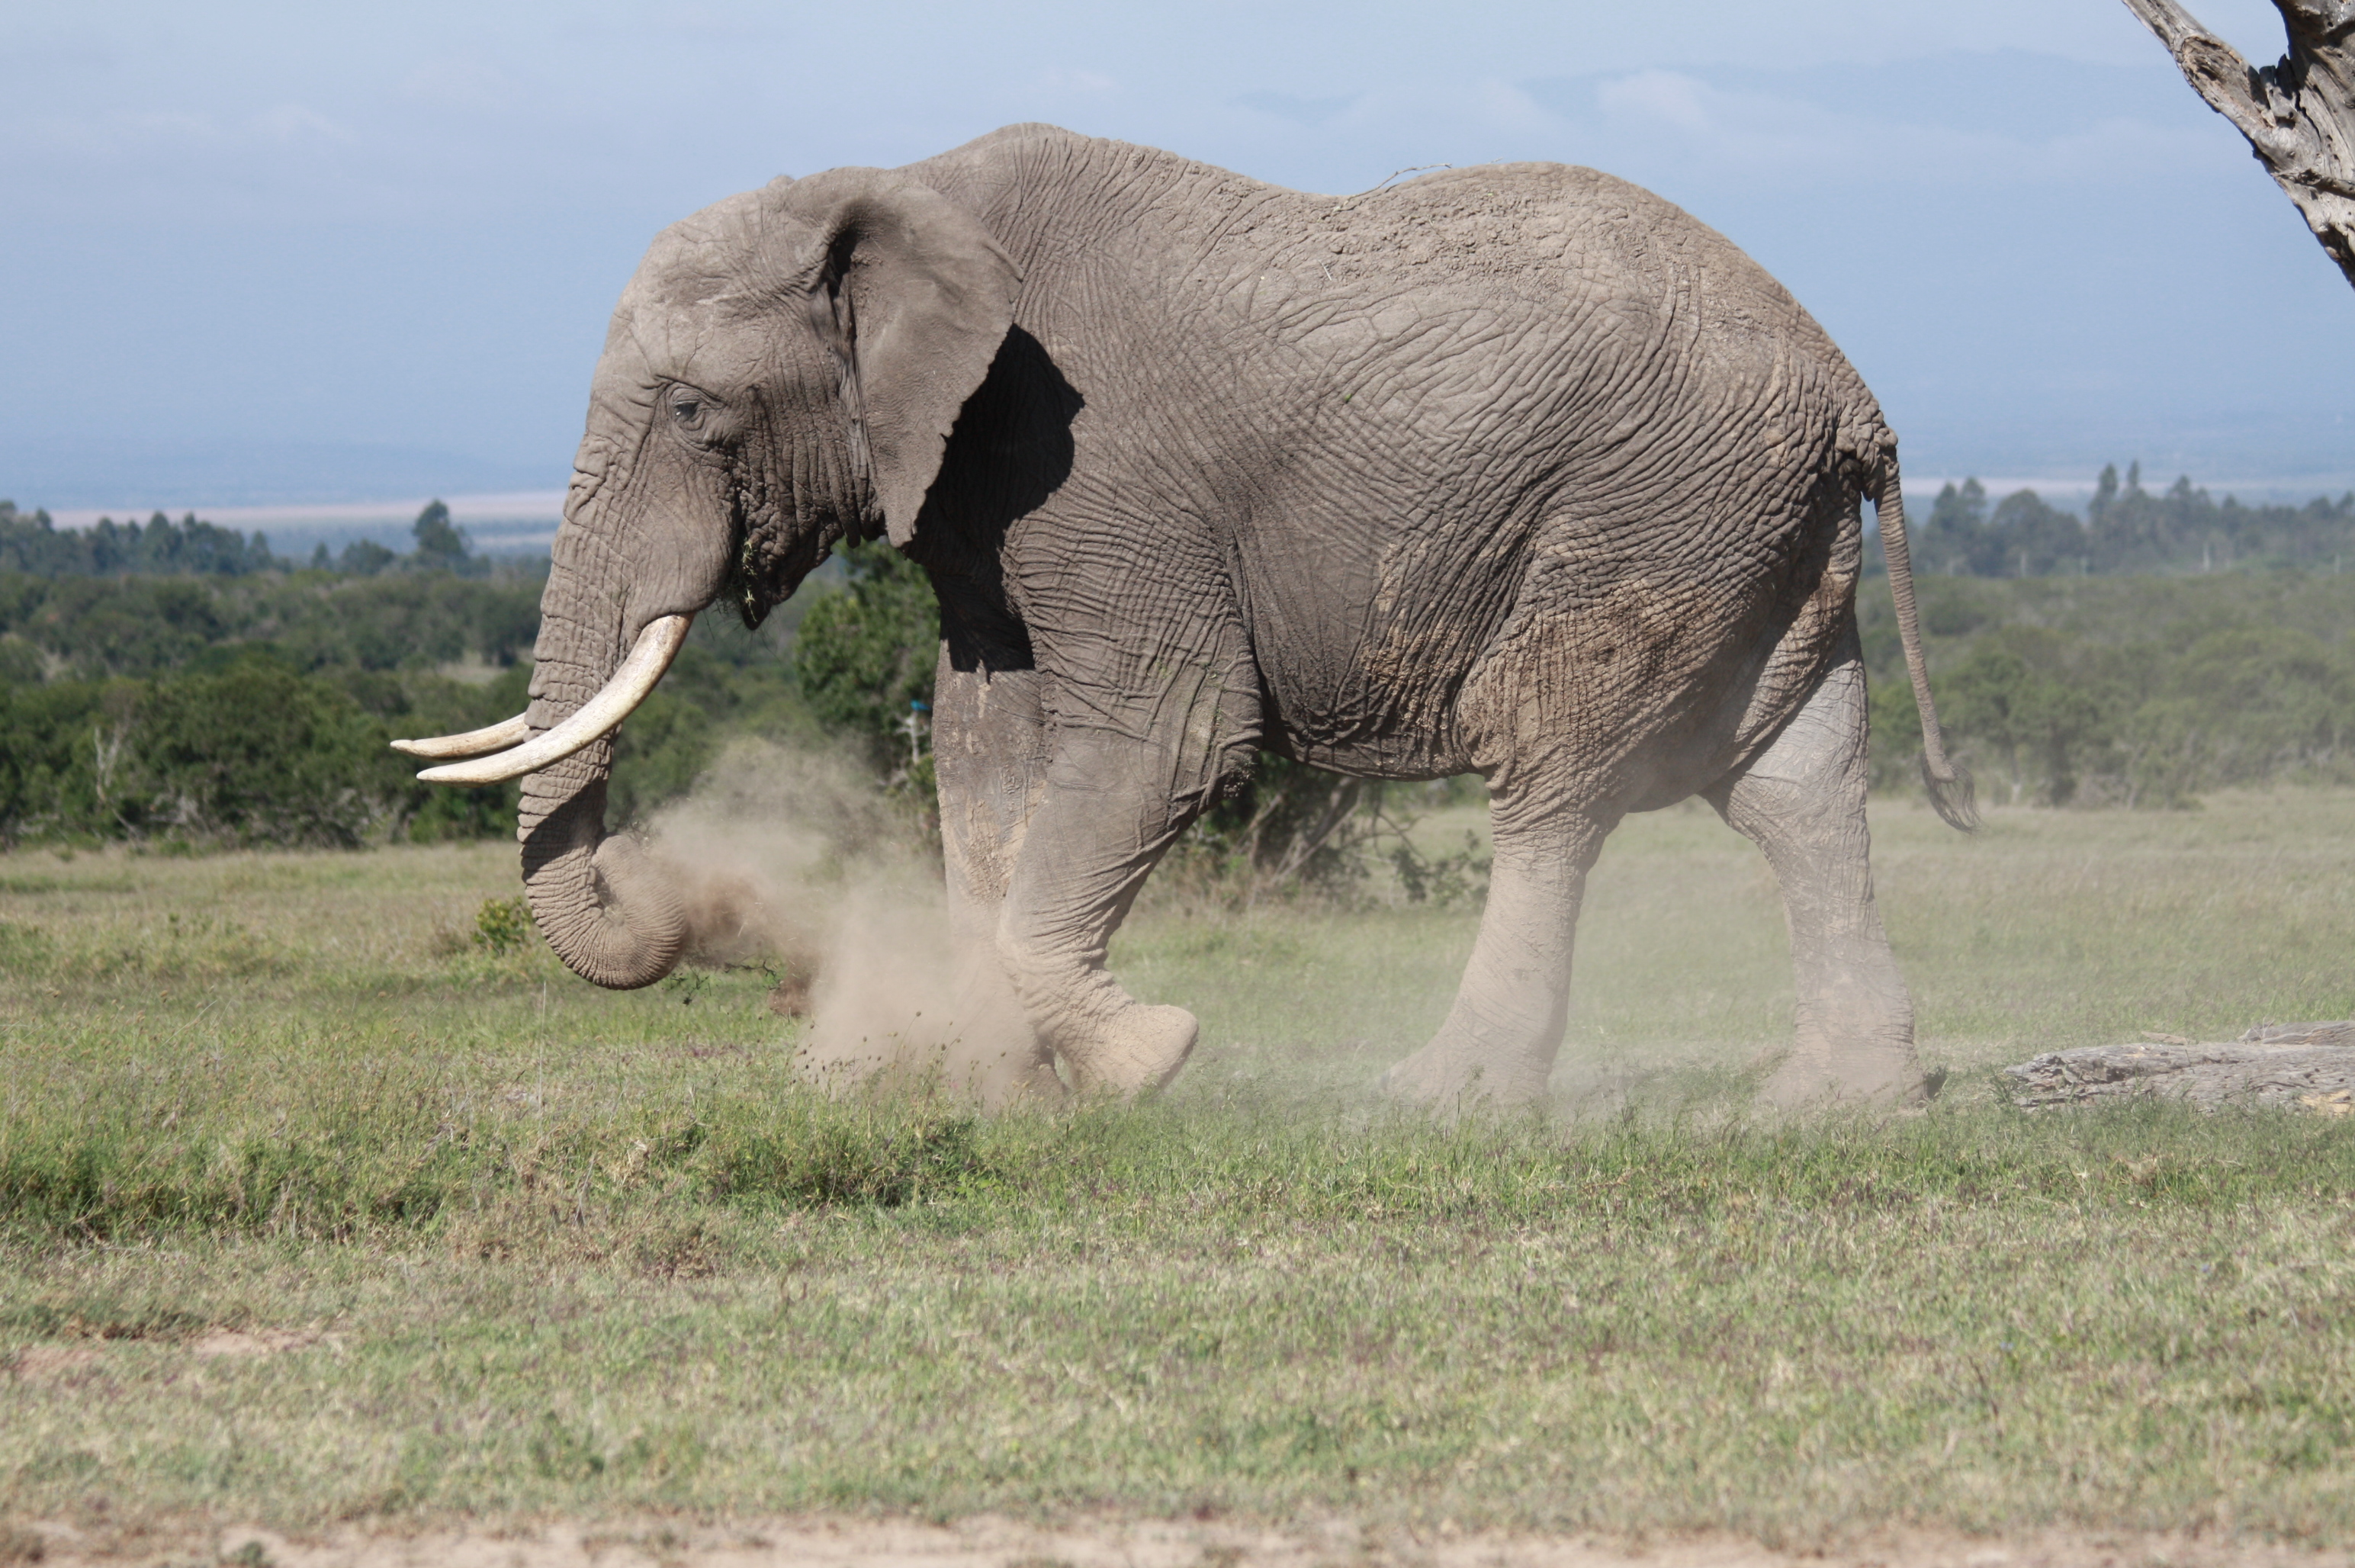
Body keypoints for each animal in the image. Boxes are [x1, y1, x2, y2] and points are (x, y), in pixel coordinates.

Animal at [394, 123, 1974, 1108]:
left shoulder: (1100, 466)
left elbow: (1170, 737)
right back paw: (1836, 1100)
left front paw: (1149, 1056)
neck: (899, 186)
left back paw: (1440, 1098)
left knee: (1555, 776)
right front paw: (989, 1081)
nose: (703, 908)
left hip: (1649, 511)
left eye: (688, 411)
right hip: (1755, 532)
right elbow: (981, 750)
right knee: (1796, 783)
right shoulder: (975, 493)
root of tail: (1851, 391)